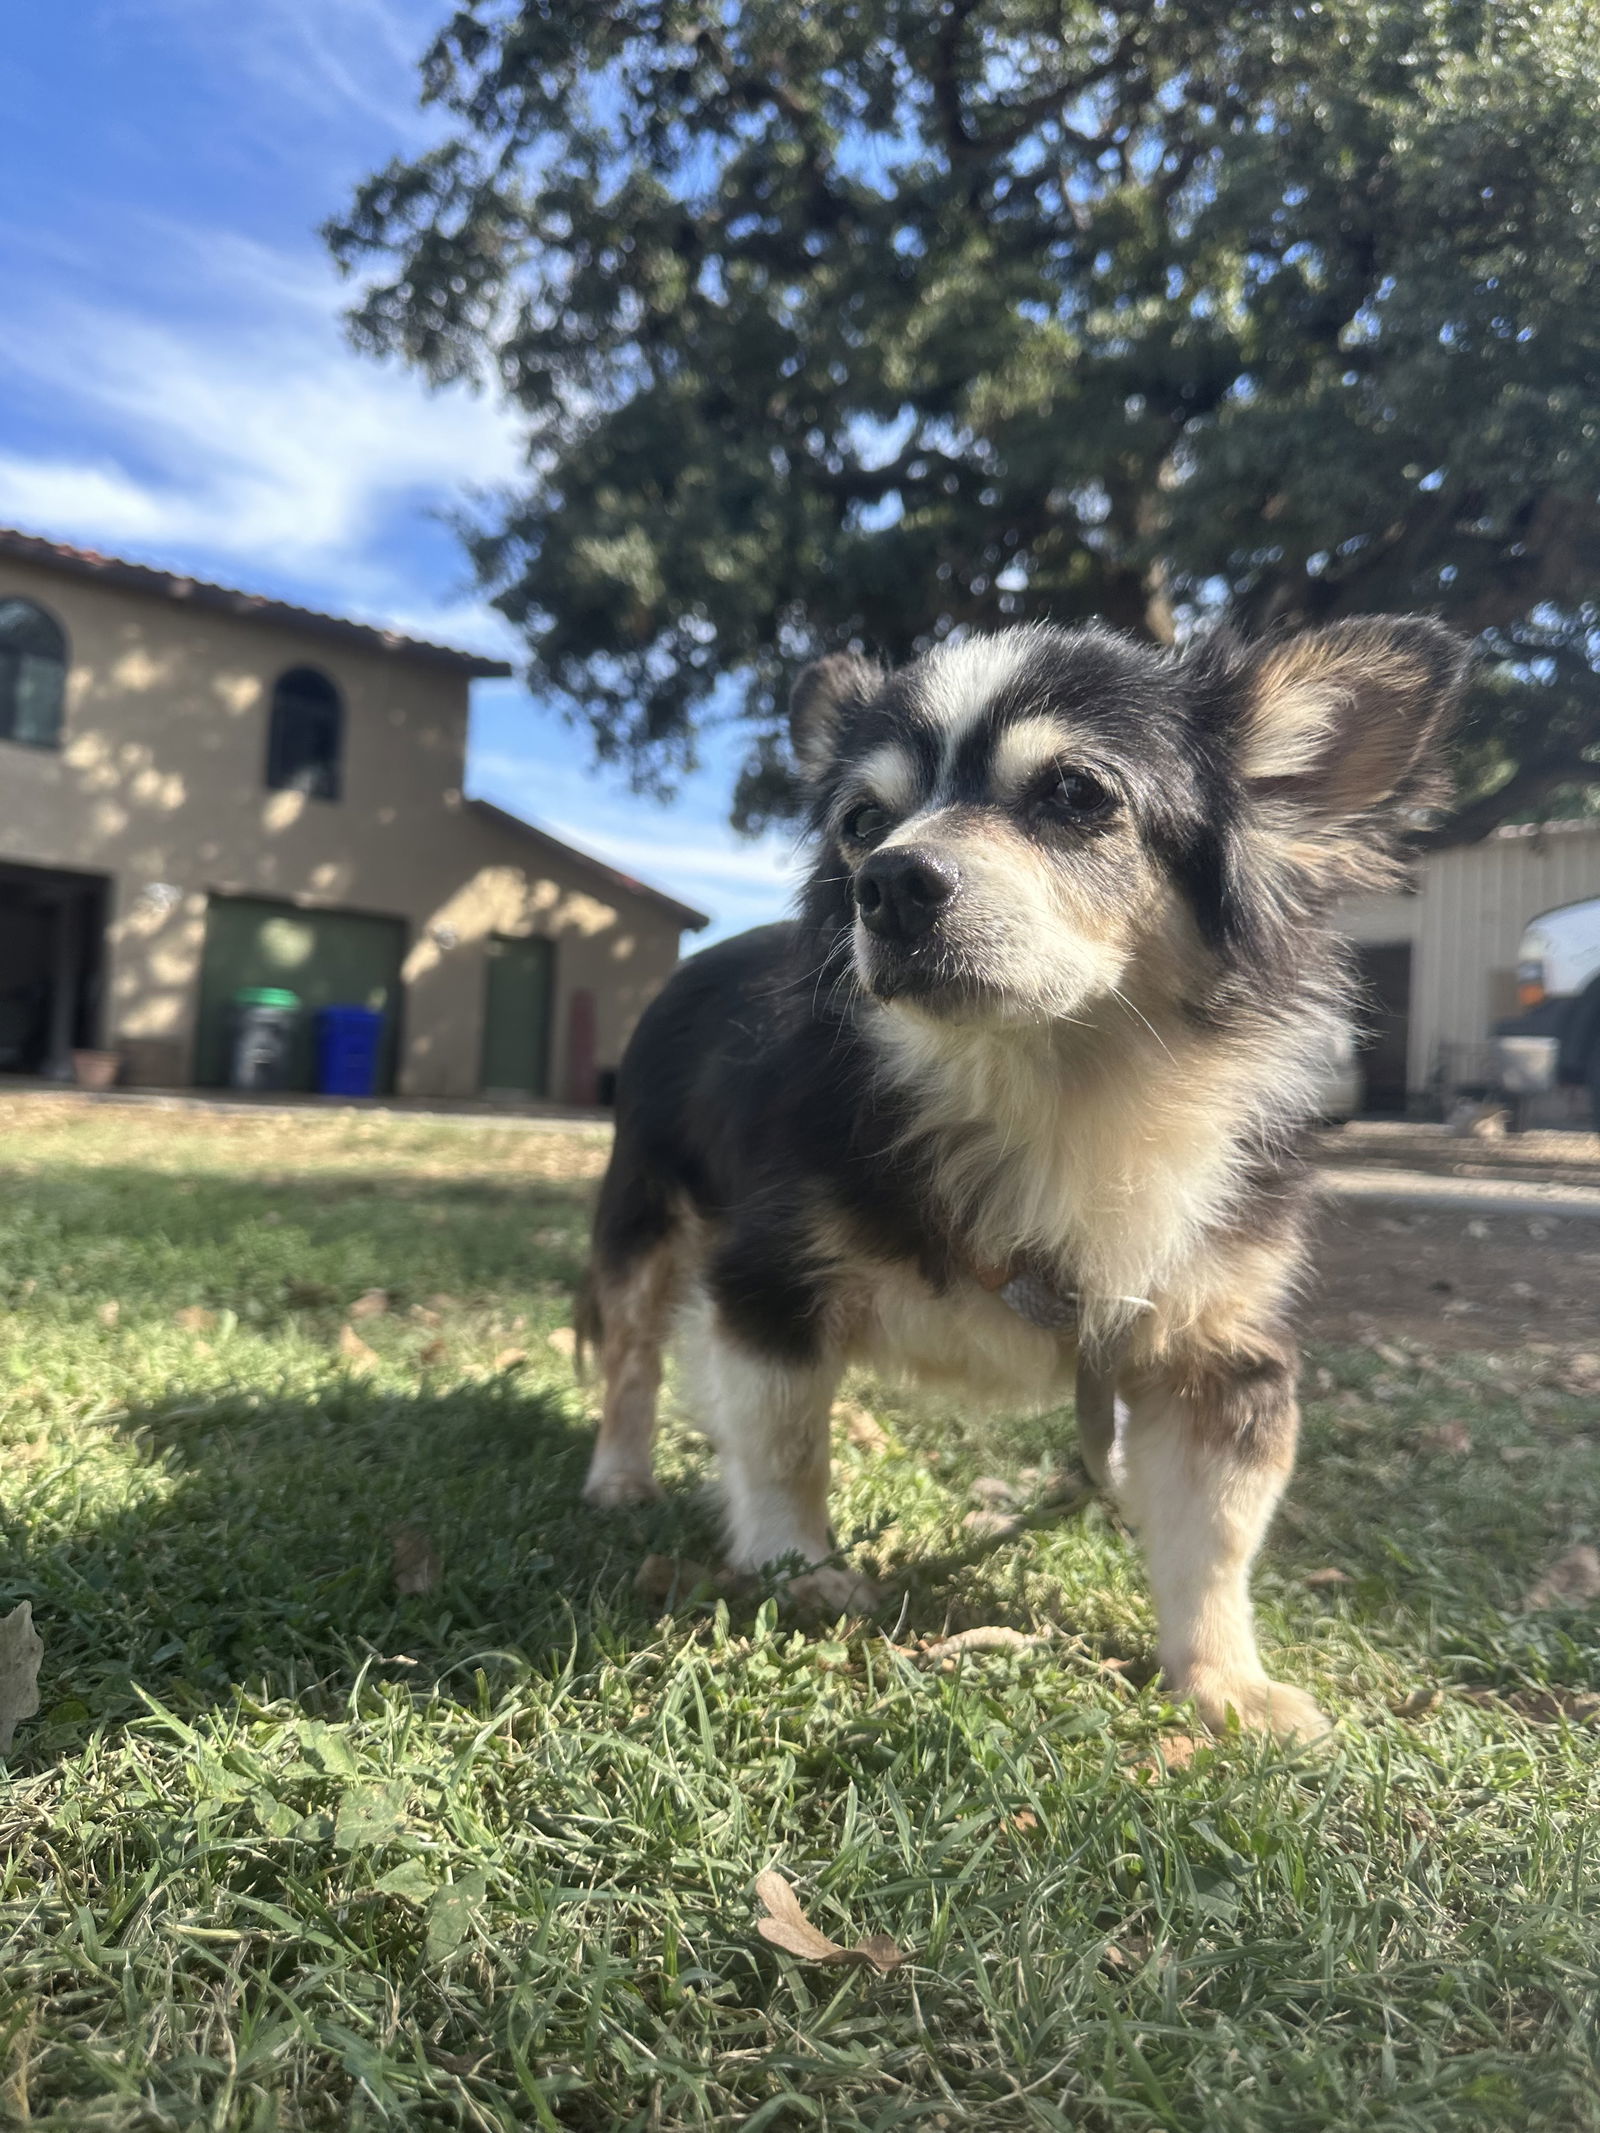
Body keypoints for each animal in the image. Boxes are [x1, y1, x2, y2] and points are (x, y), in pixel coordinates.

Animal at [571, 618, 1467, 1731]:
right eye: (861, 821)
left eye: (1076, 795)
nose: (886, 883)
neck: (1049, 1086)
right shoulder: (767, 1288)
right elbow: (782, 1446)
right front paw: (799, 1573)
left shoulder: (1219, 1354)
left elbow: (1216, 1533)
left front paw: (1225, 1683)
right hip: (642, 1225)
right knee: (630, 1358)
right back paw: (619, 1475)